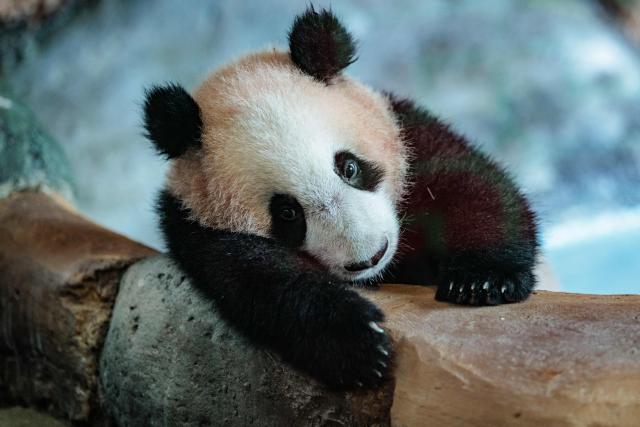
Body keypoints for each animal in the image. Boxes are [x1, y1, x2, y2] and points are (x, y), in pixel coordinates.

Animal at [143, 7, 539, 390]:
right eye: (287, 213)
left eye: (349, 167)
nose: (370, 256)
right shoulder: (199, 231)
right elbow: (261, 279)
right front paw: (360, 344)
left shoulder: (406, 132)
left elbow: (471, 188)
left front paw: (482, 280)